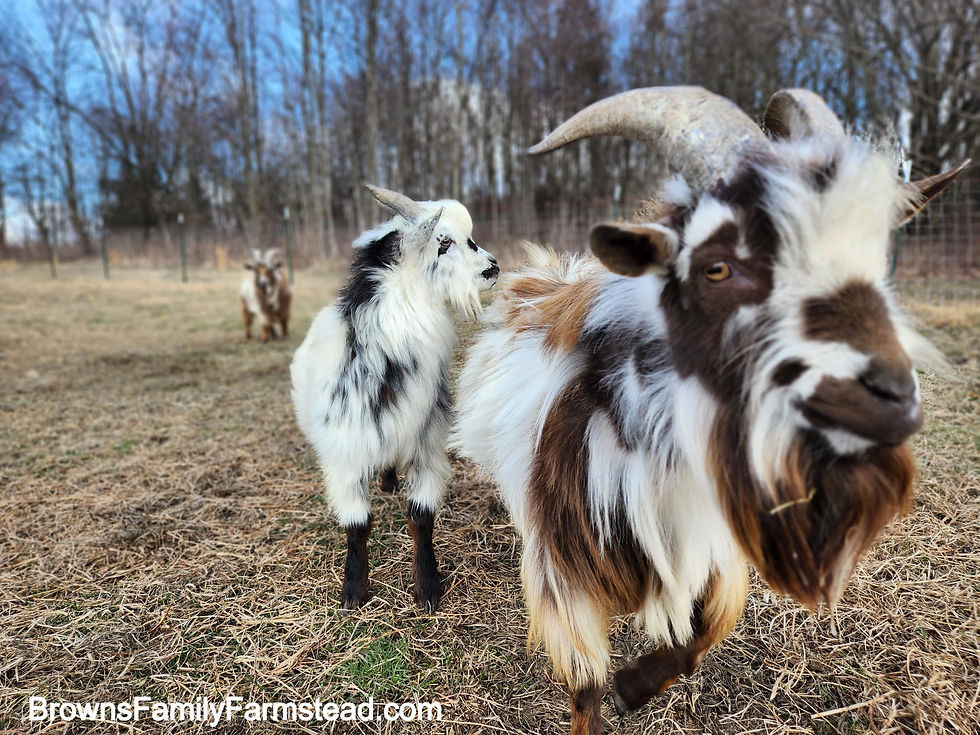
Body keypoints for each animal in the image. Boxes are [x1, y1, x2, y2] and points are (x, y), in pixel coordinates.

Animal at [290, 185, 499, 612]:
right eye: (443, 242)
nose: (493, 268)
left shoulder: (427, 447)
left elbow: (421, 518)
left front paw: (428, 589)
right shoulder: (344, 455)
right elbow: (357, 525)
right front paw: (354, 591)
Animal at [452, 86, 968, 734]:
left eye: (874, 262)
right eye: (717, 267)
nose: (893, 402)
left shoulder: (709, 545)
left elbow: (704, 629)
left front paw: (637, 685)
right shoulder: (563, 566)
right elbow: (586, 686)